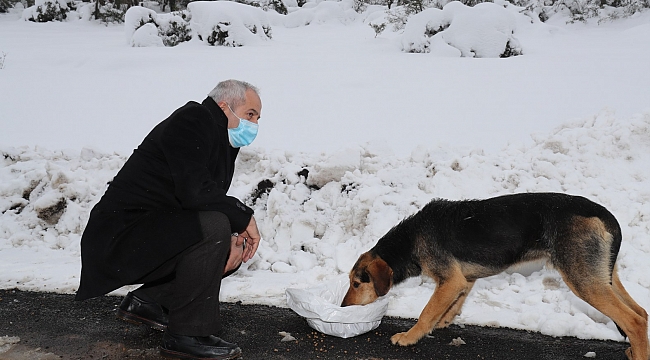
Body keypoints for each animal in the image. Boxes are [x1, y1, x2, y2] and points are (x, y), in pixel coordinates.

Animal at [342, 194, 644, 360]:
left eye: (357, 283)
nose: (344, 307)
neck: (410, 240)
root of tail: (607, 217)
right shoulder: (463, 280)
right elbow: (453, 304)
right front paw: (445, 320)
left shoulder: (450, 280)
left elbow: (426, 312)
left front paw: (409, 336)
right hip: (603, 276)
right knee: (641, 313)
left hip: (583, 280)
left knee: (634, 320)